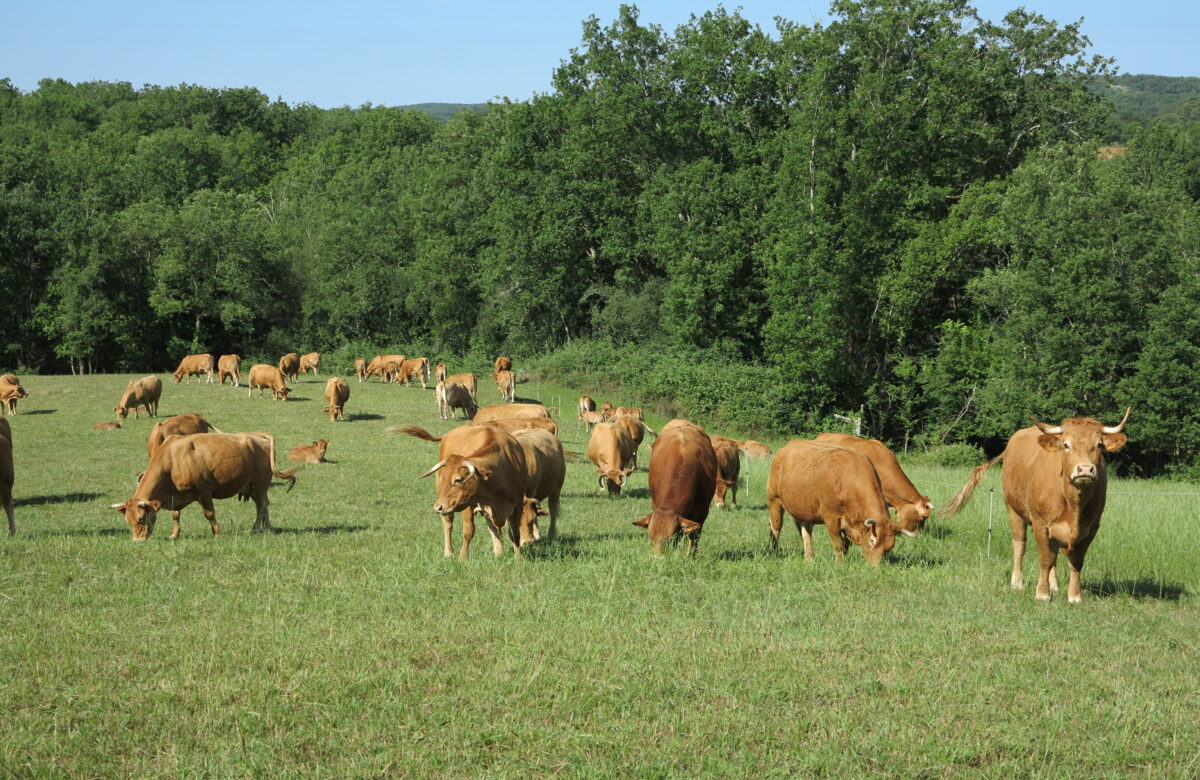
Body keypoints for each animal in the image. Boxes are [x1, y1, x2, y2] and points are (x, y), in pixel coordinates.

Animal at [110, 432, 297, 540]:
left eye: (141, 518)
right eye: (128, 521)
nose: (138, 541)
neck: (172, 460)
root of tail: (258, 437)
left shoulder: (203, 492)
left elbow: (210, 514)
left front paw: (217, 533)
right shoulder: (174, 496)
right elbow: (175, 515)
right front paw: (174, 534)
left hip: (259, 484)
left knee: (261, 506)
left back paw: (257, 528)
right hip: (253, 487)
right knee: (264, 504)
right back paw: (267, 526)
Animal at [398, 422, 530, 556]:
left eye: (458, 479)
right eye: (444, 478)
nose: (437, 507)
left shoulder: (518, 505)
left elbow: (515, 534)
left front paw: (518, 557)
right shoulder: (467, 505)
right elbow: (468, 532)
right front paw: (462, 557)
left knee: (492, 527)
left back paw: (498, 552)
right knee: (448, 524)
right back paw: (448, 552)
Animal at [768, 436, 907, 564]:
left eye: (889, 548)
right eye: (872, 541)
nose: (874, 567)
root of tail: (788, 446)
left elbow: (846, 545)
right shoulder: (831, 517)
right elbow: (838, 543)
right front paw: (839, 563)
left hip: (803, 509)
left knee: (806, 532)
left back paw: (809, 558)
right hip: (774, 499)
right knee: (776, 526)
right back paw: (774, 551)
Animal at [940, 408, 1128, 602]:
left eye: (1099, 445)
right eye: (1066, 445)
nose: (1085, 469)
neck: (1074, 503)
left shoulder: (1091, 528)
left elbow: (1076, 562)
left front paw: (1074, 596)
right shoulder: (1040, 523)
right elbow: (1045, 559)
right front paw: (1042, 593)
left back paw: (1054, 586)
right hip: (1013, 509)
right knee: (1020, 544)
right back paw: (1017, 582)